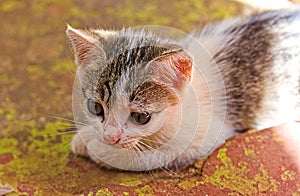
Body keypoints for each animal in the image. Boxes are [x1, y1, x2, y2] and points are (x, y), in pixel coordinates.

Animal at [67, 6, 300, 171]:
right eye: (96, 108)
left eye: (141, 117)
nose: (110, 137)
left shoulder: (204, 137)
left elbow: (148, 156)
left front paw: (94, 147)